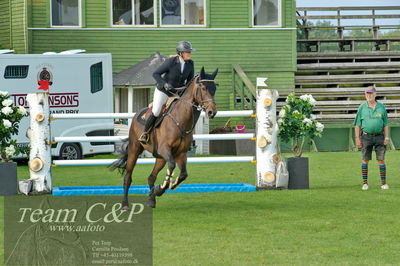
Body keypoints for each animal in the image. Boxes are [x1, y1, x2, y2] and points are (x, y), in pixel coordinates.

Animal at [111, 67, 219, 209]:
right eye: (203, 88)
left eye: (214, 88)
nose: (212, 112)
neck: (180, 120)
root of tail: (137, 114)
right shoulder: (165, 150)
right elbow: (172, 166)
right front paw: (161, 188)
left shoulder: (181, 153)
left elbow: (183, 174)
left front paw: (163, 188)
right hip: (135, 150)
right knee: (128, 177)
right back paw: (125, 205)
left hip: (160, 157)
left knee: (151, 177)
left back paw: (151, 199)